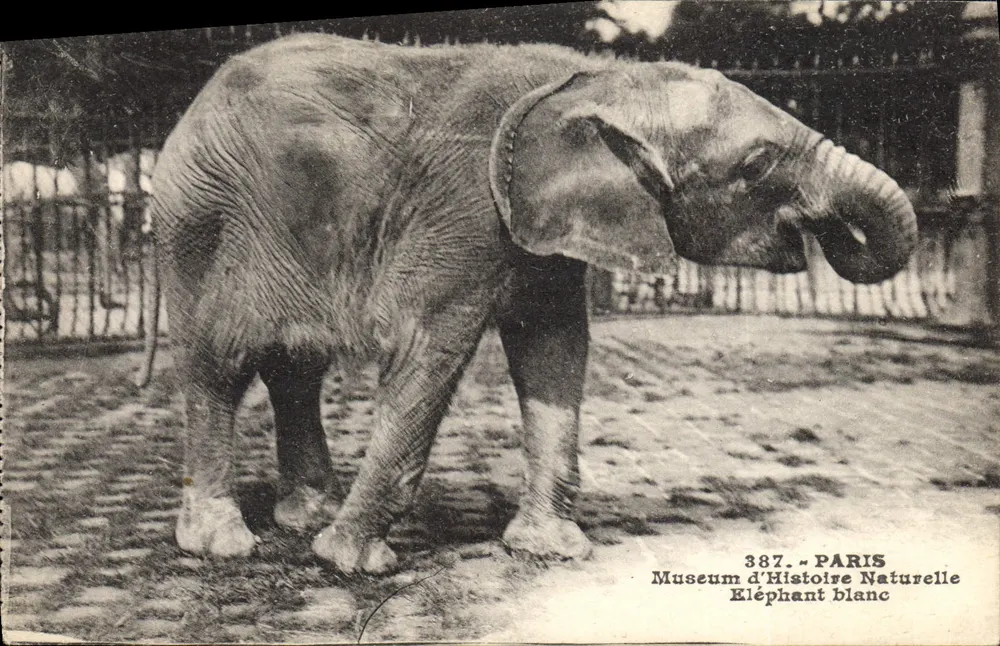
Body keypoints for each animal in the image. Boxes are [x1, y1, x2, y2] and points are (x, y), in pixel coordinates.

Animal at [140, 33, 917, 574]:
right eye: (756, 165)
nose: (827, 234)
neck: (598, 78)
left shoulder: (544, 223)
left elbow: (554, 349)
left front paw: (550, 550)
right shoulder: (464, 207)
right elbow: (428, 348)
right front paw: (350, 564)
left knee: (294, 366)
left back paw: (305, 515)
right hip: (201, 225)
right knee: (220, 363)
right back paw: (222, 543)